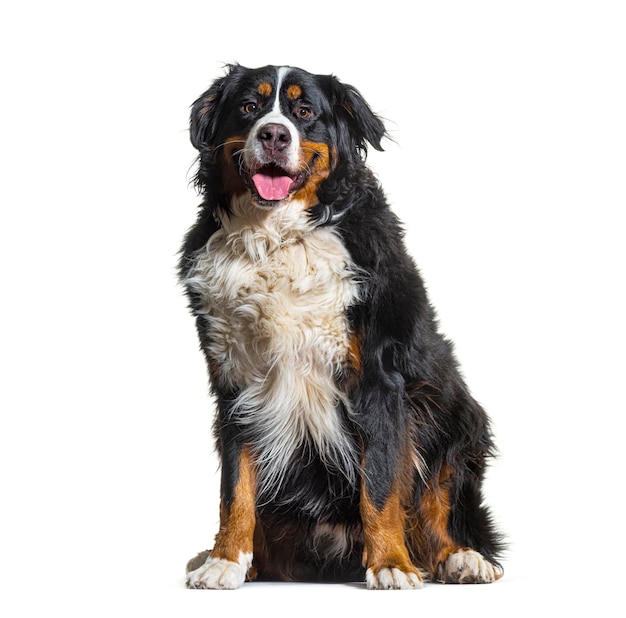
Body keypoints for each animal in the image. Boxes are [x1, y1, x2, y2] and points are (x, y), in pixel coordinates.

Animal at [179, 62, 502, 588]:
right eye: (249, 107)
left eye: (304, 112)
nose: (273, 134)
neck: (277, 238)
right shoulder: (234, 382)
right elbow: (235, 487)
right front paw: (226, 559)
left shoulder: (379, 380)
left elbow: (382, 484)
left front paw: (391, 564)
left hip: (455, 413)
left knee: (440, 504)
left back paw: (462, 559)